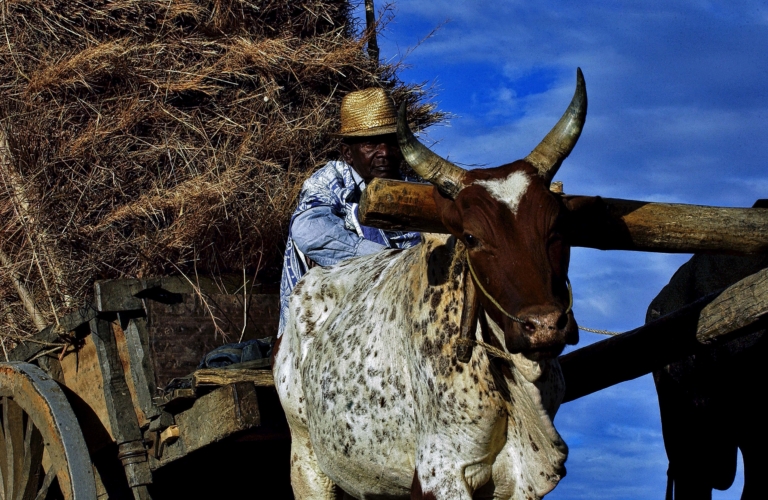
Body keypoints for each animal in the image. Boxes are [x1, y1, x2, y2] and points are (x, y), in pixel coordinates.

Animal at [274, 69, 587, 500]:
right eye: (471, 237)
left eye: (557, 229)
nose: (543, 326)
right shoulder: (440, 472)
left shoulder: (521, 482)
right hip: (306, 459)